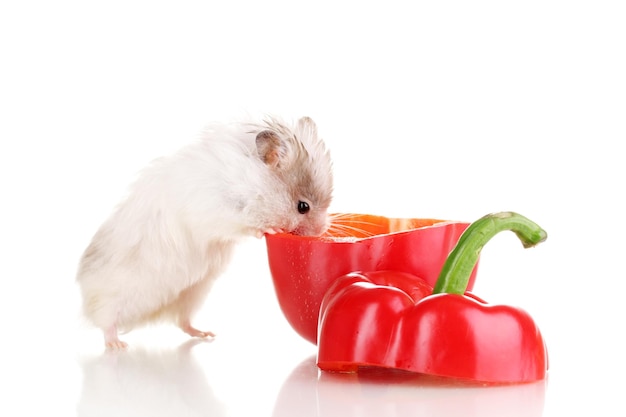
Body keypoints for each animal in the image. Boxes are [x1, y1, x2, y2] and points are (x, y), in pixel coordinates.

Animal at [76, 116, 334, 348]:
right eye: (303, 206)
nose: (321, 231)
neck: (255, 184)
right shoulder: (220, 210)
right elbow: (247, 224)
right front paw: (271, 228)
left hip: (193, 293)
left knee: (182, 321)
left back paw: (206, 334)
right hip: (114, 293)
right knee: (106, 321)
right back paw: (117, 345)